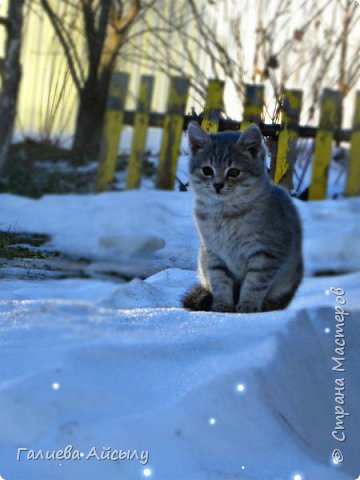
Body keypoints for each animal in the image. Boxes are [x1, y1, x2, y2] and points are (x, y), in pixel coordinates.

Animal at [183, 122, 304, 314]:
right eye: (207, 170)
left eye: (233, 172)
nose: (218, 185)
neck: (226, 214)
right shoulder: (214, 254)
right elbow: (220, 281)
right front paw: (222, 305)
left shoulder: (265, 254)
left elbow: (254, 284)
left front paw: (247, 305)